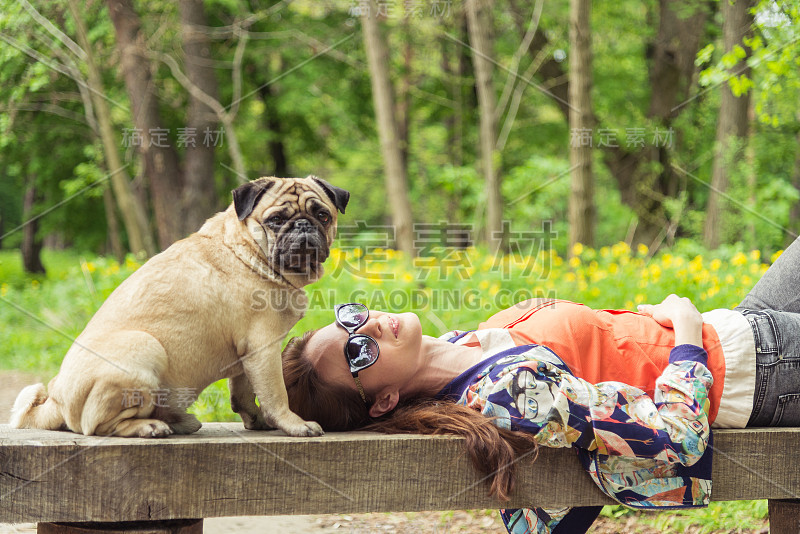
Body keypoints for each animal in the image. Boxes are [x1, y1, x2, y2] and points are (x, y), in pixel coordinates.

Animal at [9, 176, 346, 440]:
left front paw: (258, 421)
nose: (303, 225)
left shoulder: (247, 355)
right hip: (145, 347)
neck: (248, 250)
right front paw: (293, 424)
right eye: (275, 220)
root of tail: (56, 400)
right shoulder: (263, 348)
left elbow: (243, 395)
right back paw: (149, 427)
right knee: (98, 426)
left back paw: (178, 421)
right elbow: (276, 394)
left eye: (322, 215)